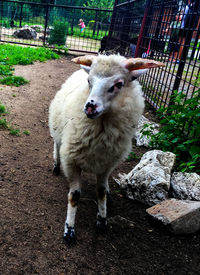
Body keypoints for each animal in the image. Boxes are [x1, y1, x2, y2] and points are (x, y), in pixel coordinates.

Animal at [48, 54, 164, 246]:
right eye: (89, 81)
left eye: (118, 84)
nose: (90, 106)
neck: (100, 130)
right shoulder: (71, 160)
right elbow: (74, 195)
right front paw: (69, 230)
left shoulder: (107, 163)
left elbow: (101, 191)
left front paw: (102, 220)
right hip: (58, 130)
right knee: (57, 145)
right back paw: (56, 165)